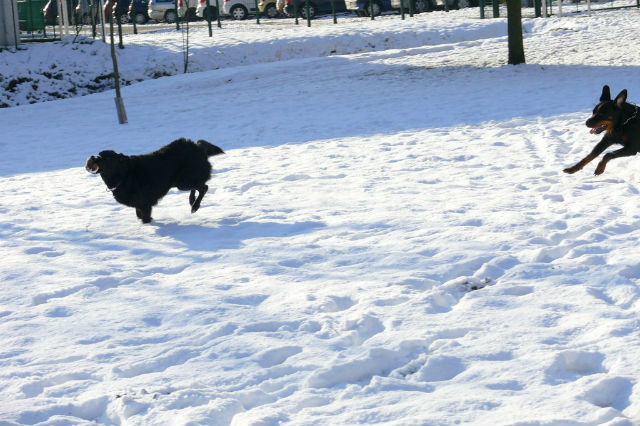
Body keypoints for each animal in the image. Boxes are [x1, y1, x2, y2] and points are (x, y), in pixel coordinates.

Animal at [85, 138, 225, 223]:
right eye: (99, 154)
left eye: (107, 158)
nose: (92, 157)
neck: (124, 175)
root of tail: (198, 147)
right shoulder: (139, 205)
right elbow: (139, 216)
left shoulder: (145, 204)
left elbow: (145, 218)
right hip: (183, 181)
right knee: (198, 186)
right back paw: (192, 201)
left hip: (183, 180)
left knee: (204, 187)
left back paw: (195, 206)